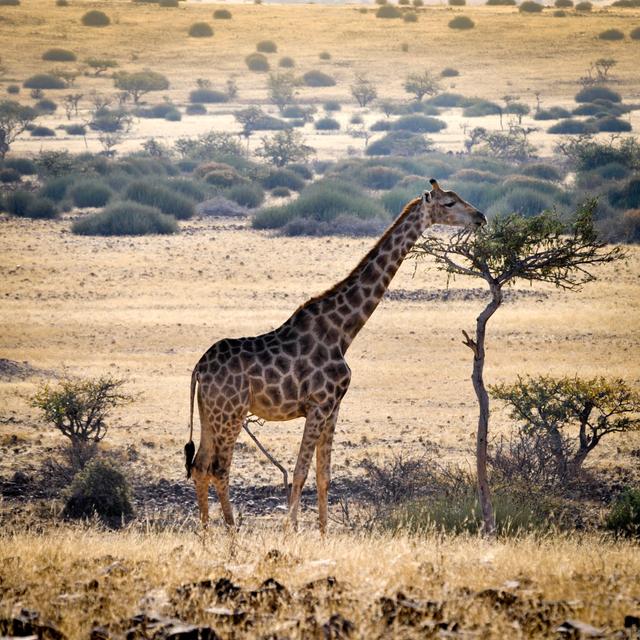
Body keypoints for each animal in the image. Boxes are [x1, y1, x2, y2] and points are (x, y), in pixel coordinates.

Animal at [185, 179, 484, 528]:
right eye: (449, 202)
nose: (480, 217)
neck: (342, 331)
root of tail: (199, 368)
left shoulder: (334, 407)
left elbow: (323, 476)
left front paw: (322, 534)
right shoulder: (318, 405)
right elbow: (300, 472)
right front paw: (290, 531)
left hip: (209, 412)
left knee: (200, 467)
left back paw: (206, 534)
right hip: (231, 412)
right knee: (219, 469)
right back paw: (232, 535)